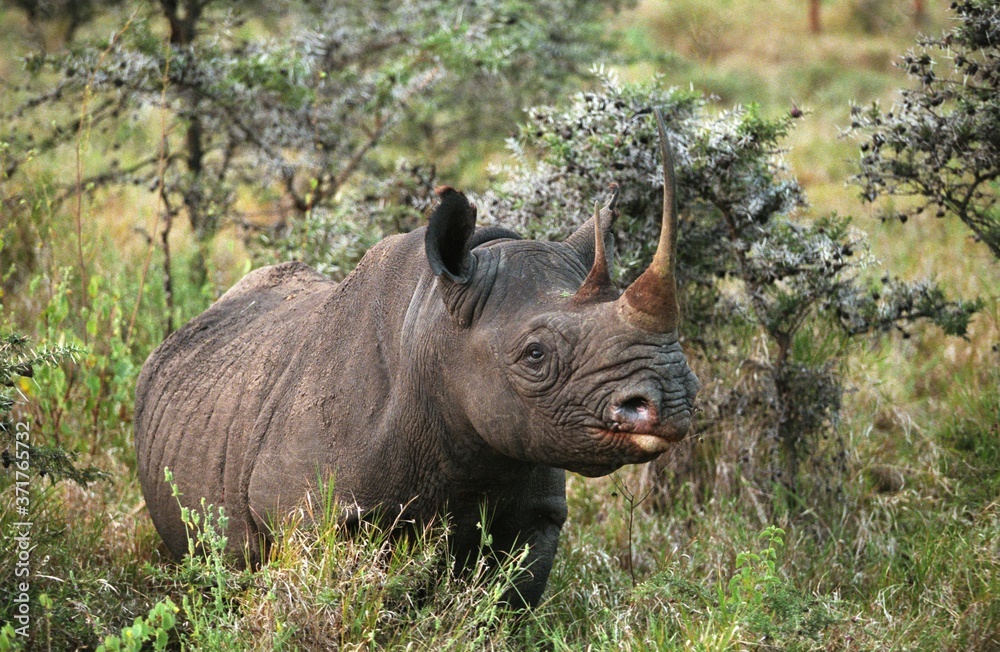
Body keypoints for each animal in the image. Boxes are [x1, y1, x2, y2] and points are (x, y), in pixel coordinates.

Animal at [134, 110, 699, 607]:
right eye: (534, 355)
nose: (671, 398)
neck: (436, 329)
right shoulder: (310, 514)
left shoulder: (536, 506)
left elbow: (506, 605)